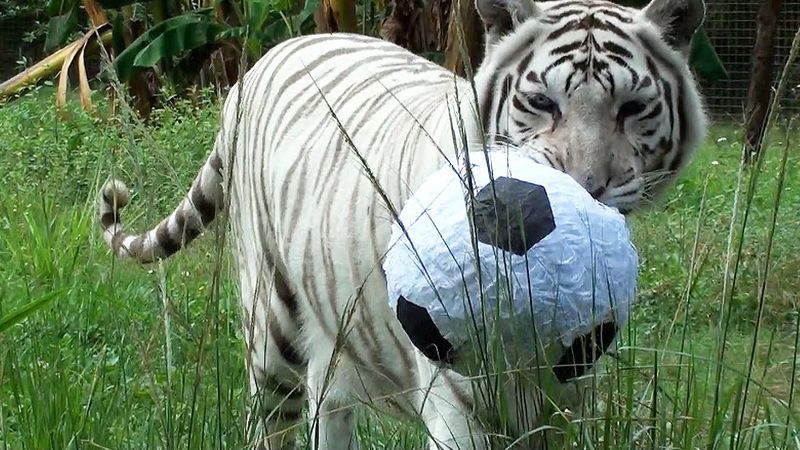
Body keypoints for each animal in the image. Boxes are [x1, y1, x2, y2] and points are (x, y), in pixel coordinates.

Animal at [98, 0, 708, 446]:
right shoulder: (460, 390)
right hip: (272, 331)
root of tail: (258, 66)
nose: (585, 185)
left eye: (633, 108)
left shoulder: (570, 393)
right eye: (540, 103)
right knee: (270, 418)